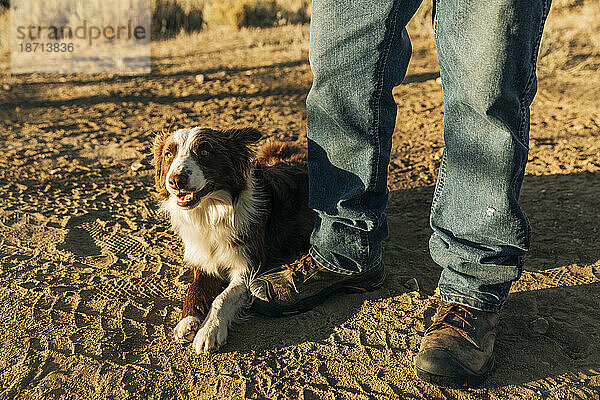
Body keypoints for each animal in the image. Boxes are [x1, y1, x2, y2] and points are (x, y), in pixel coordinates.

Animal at [154, 126, 314, 352]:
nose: (176, 180)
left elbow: (223, 298)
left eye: (204, 151)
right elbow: (194, 289)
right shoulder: (204, 261)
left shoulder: (249, 266)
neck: (210, 213)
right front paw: (188, 320)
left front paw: (209, 330)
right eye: (169, 154)